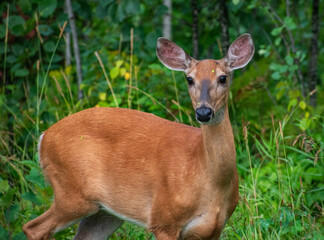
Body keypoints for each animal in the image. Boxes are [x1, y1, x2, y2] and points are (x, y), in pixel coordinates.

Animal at [22, 33, 254, 240]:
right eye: (189, 79)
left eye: (223, 77)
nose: (203, 112)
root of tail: (44, 137)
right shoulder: (163, 220)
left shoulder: (215, 229)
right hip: (71, 193)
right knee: (33, 228)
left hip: (105, 212)